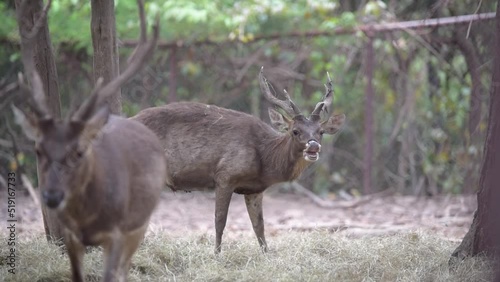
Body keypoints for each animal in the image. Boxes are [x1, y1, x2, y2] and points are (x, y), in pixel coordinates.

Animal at [13, 1, 164, 280]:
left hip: (140, 223)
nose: (51, 196)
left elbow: (110, 274)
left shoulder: (117, 233)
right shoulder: (70, 237)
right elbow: (77, 275)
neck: (88, 219)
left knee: (124, 268)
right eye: (38, 149)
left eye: (78, 151)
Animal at [131, 69, 346, 253]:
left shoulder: (254, 189)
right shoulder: (225, 176)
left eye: (321, 131)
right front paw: (217, 254)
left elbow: (259, 225)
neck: (265, 160)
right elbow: (220, 220)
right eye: (295, 131)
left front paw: (266, 255)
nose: (313, 146)